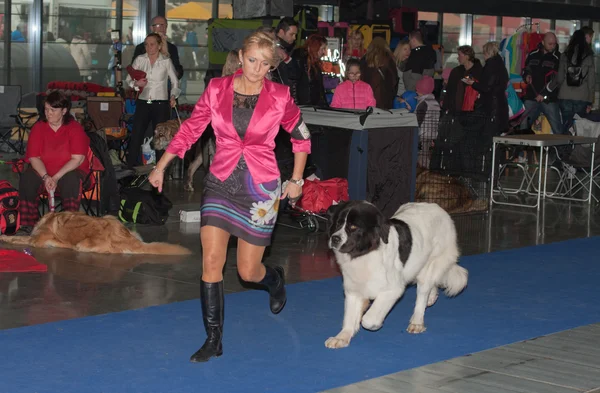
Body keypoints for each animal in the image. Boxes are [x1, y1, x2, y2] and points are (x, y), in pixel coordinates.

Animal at [324, 201, 468, 348]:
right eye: (338, 224)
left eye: (353, 227)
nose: (335, 238)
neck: (364, 254)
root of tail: (438, 208)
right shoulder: (352, 290)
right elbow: (349, 316)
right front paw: (342, 337)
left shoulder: (393, 289)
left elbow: (368, 319)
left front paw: (374, 323)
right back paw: (432, 297)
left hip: (432, 261)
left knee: (423, 291)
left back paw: (417, 321)